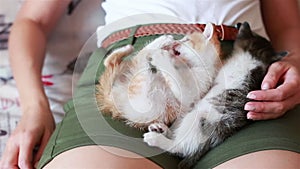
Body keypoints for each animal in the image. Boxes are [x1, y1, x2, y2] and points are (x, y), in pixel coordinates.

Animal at [144, 21, 288, 168]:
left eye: (186, 40)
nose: (175, 42)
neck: (253, 58)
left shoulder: (197, 87)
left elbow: (180, 83)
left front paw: (161, 58)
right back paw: (161, 129)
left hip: (198, 118)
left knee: (181, 147)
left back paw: (157, 139)